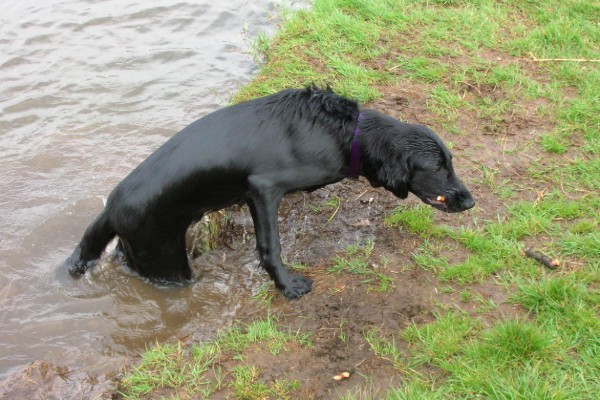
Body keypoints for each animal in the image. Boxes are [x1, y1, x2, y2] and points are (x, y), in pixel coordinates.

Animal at [67, 88, 474, 300]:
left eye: (450, 162)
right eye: (437, 168)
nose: (470, 200)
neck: (345, 134)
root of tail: (112, 206)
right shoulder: (263, 188)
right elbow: (270, 247)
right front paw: (288, 285)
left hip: (138, 249)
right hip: (166, 261)